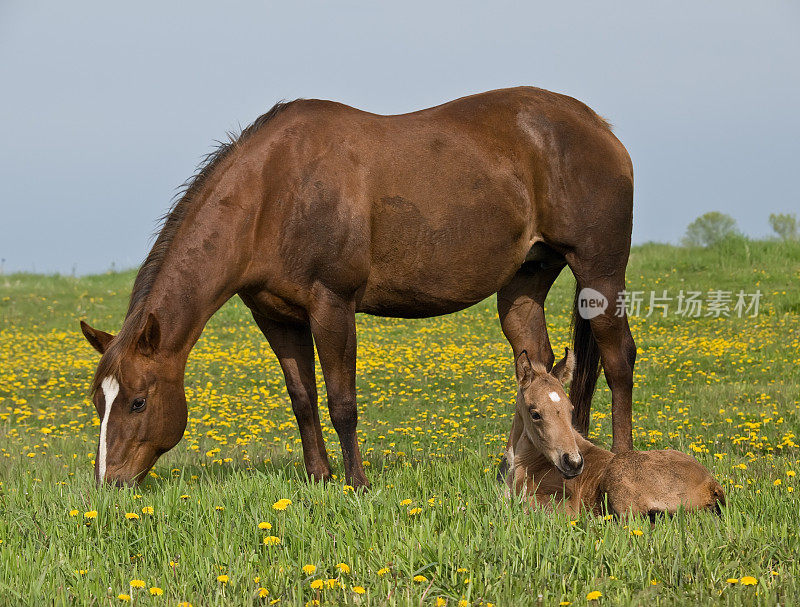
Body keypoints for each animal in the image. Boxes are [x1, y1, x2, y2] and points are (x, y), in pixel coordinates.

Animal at [81, 88, 636, 490]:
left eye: (137, 402)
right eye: (97, 403)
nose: (109, 483)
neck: (275, 193)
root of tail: (600, 127)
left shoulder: (333, 305)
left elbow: (341, 402)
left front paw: (357, 484)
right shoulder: (276, 317)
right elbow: (302, 398)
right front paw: (319, 478)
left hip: (599, 275)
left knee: (617, 360)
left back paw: (623, 459)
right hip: (523, 284)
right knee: (539, 367)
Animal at [504, 352, 728, 516]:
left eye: (570, 409)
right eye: (535, 413)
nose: (574, 463)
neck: (527, 463)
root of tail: (712, 484)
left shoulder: (565, 507)